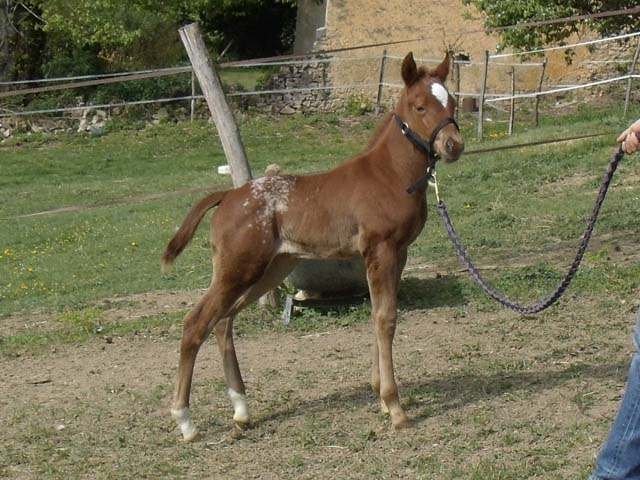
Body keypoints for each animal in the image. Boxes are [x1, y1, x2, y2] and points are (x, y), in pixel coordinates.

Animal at [164, 50, 464, 440]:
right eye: (420, 106)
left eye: (452, 102)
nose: (453, 146)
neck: (389, 175)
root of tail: (227, 196)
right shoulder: (382, 250)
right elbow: (386, 318)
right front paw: (395, 407)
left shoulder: (399, 253)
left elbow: (379, 314)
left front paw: (382, 399)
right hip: (239, 269)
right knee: (195, 323)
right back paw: (185, 421)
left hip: (270, 270)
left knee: (223, 321)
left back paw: (242, 411)